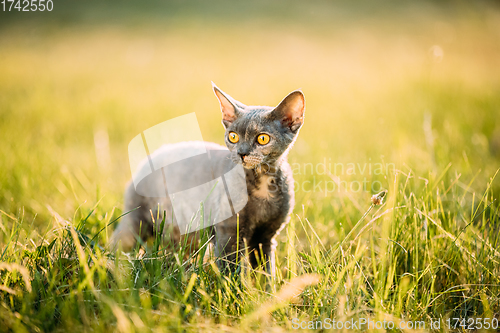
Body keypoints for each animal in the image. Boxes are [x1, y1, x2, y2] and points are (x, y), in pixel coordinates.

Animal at [110, 84, 304, 274]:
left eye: (263, 138)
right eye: (233, 136)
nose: (241, 153)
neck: (262, 183)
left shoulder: (266, 237)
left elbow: (266, 272)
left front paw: (267, 285)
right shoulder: (228, 233)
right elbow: (230, 270)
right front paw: (233, 285)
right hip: (137, 219)